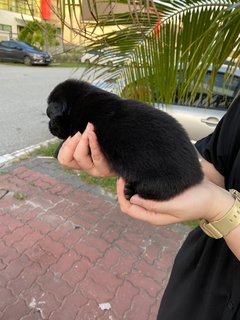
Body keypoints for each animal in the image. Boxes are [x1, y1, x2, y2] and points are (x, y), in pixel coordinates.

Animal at [46, 79, 202, 200]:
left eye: (51, 116)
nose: (50, 127)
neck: (77, 104)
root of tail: (198, 173)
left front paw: (57, 150)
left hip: (161, 180)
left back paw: (130, 191)